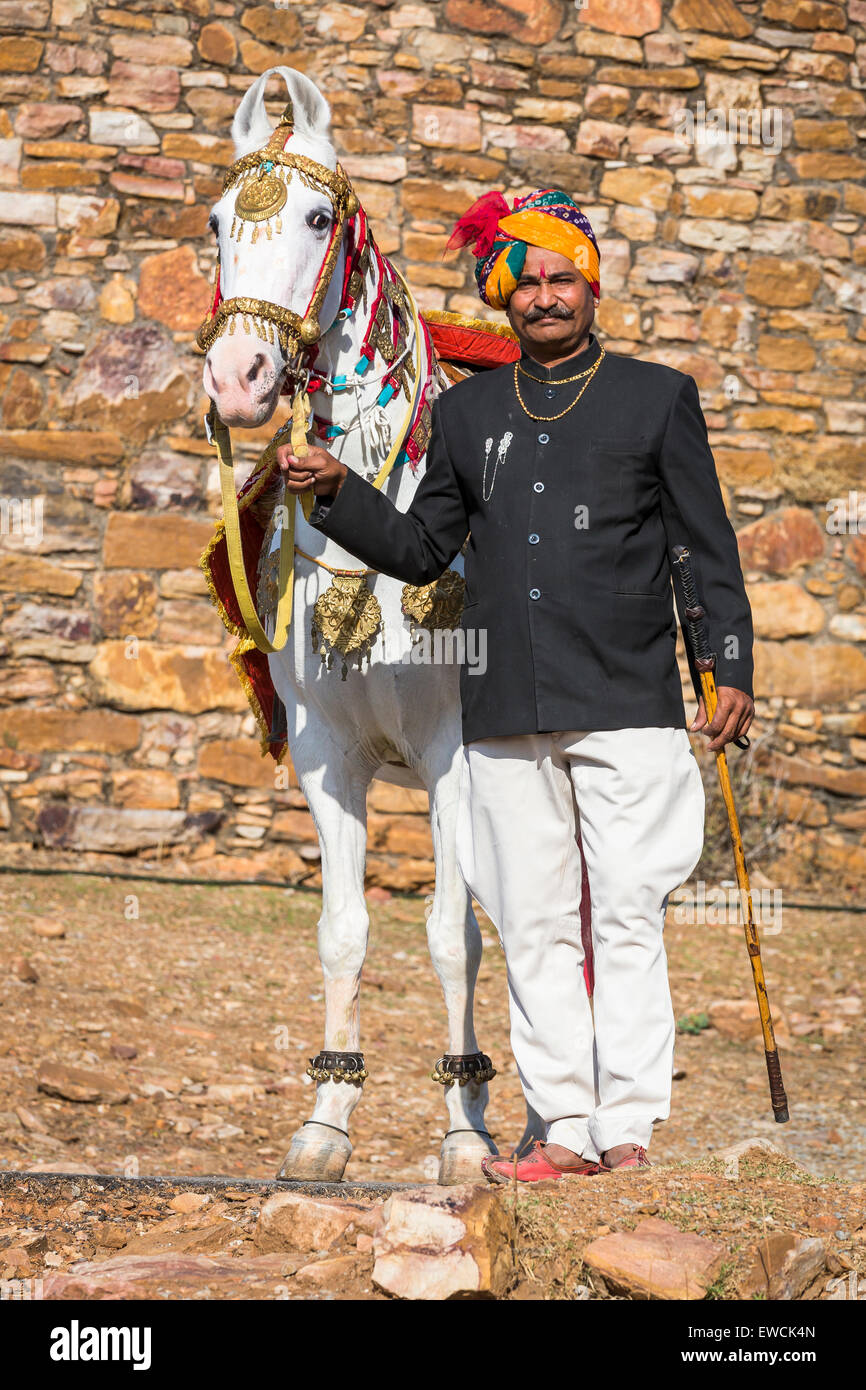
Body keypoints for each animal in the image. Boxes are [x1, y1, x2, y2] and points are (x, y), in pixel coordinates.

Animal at [202, 67, 514, 1184]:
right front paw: (325, 1125)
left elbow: (455, 938)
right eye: (216, 222)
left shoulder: (456, 754)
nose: (237, 380)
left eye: (316, 216)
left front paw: (465, 1138)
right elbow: (343, 930)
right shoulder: (327, 757)